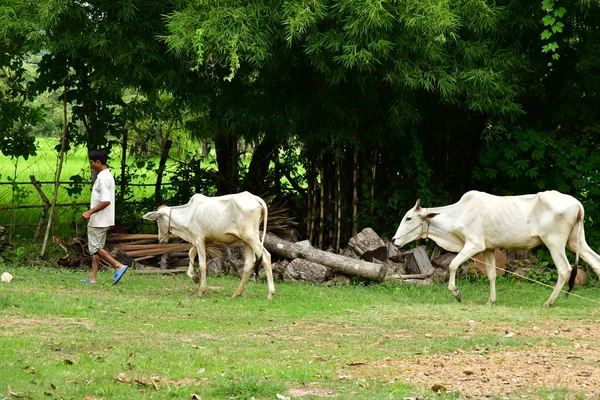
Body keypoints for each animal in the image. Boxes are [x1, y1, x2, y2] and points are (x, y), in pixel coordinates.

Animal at [143, 191, 276, 300]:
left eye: (158, 220)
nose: (161, 239)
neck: (188, 213)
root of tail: (254, 198)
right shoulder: (204, 240)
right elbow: (191, 253)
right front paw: (194, 277)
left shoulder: (199, 239)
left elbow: (202, 265)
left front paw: (201, 290)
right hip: (246, 240)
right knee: (249, 263)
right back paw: (237, 293)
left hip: (251, 237)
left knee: (266, 256)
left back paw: (270, 293)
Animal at [392, 191, 600, 306]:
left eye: (409, 218)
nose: (394, 240)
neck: (459, 213)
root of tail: (577, 203)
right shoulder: (488, 249)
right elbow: (492, 275)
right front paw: (491, 300)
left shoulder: (474, 244)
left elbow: (453, 265)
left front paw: (456, 293)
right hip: (575, 241)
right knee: (596, 262)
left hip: (554, 242)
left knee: (564, 269)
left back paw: (549, 302)